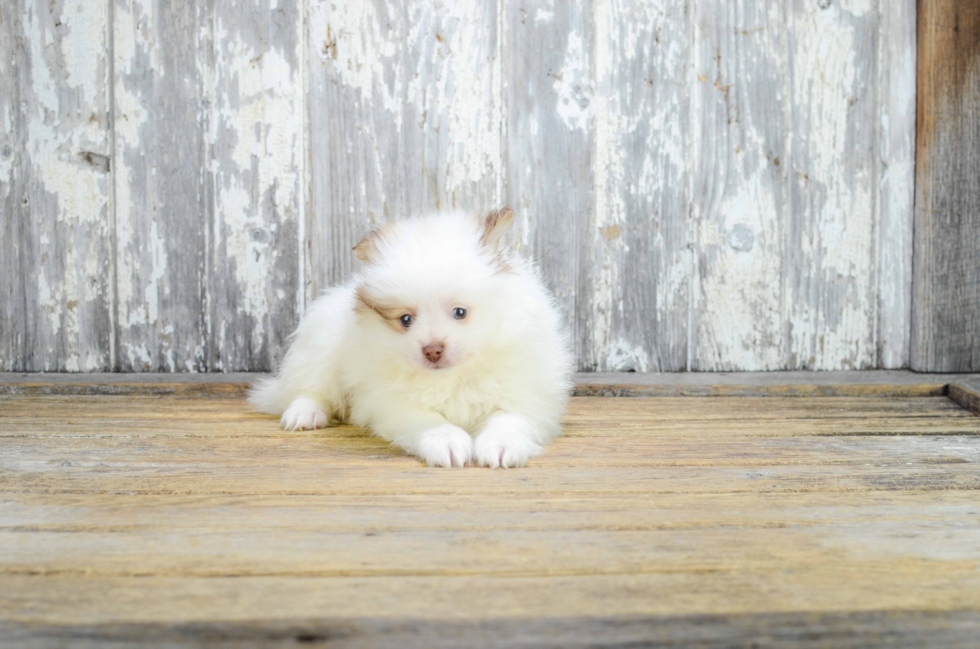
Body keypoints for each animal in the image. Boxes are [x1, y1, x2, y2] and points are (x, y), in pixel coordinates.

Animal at [249, 208, 580, 466]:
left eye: (460, 312)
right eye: (406, 320)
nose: (432, 349)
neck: (453, 377)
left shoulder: (526, 393)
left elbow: (508, 419)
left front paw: (500, 446)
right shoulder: (393, 402)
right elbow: (429, 421)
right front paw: (447, 443)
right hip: (320, 347)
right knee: (309, 390)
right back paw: (304, 415)